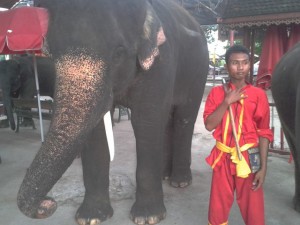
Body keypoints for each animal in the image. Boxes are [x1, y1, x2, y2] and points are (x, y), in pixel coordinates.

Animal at [16, 0, 209, 224]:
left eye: (118, 54)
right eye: (53, 56)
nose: (47, 203)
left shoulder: (162, 62)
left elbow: (146, 121)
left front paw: (147, 217)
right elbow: (97, 128)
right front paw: (91, 217)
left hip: (199, 71)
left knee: (184, 117)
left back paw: (180, 182)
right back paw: (164, 175)